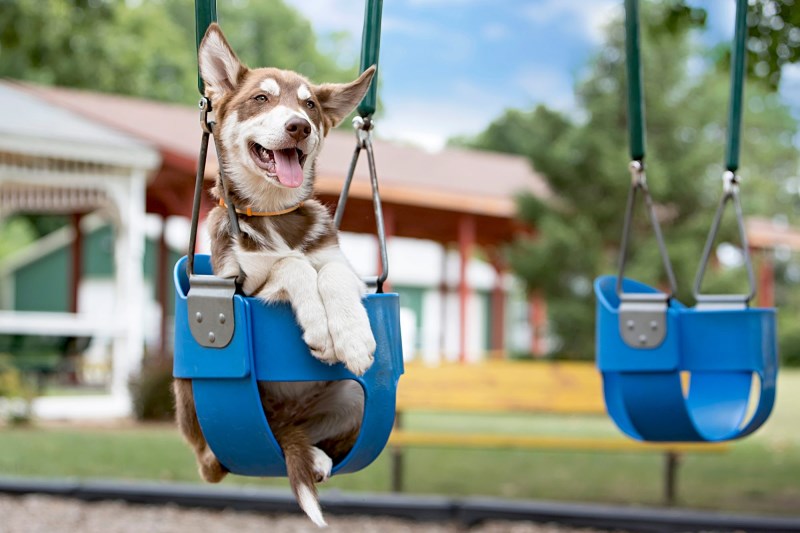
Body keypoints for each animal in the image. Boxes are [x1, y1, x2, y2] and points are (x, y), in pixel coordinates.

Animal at [173, 22, 378, 524]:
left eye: (309, 105)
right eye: (261, 99)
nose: (298, 126)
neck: (273, 212)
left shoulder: (339, 263)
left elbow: (330, 273)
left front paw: (352, 337)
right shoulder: (238, 283)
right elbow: (292, 264)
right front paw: (322, 329)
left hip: (353, 398)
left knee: (296, 438)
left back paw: (316, 456)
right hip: (192, 396)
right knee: (212, 460)